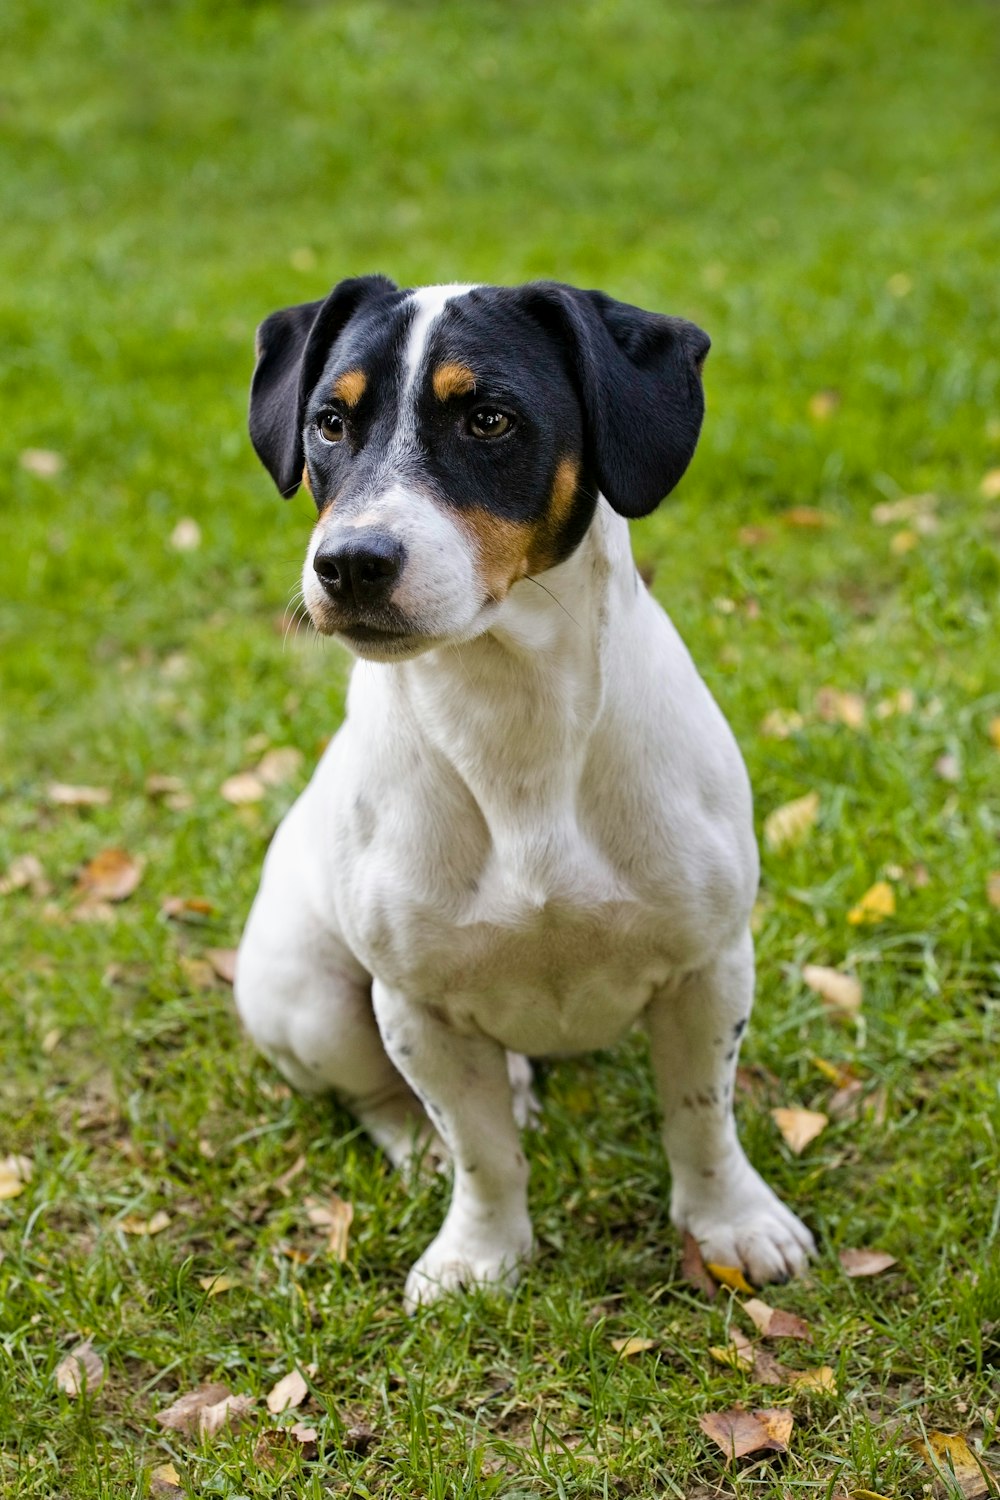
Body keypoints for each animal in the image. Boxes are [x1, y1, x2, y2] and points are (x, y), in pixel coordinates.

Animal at [235, 276, 815, 1308]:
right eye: (329, 423)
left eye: (490, 419)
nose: (348, 563)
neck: (516, 723)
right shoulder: (416, 1008)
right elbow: (483, 1154)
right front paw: (480, 1254)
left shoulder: (710, 968)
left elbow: (700, 1117)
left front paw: (730, 1225)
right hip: (307, 997)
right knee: (382, 1101)